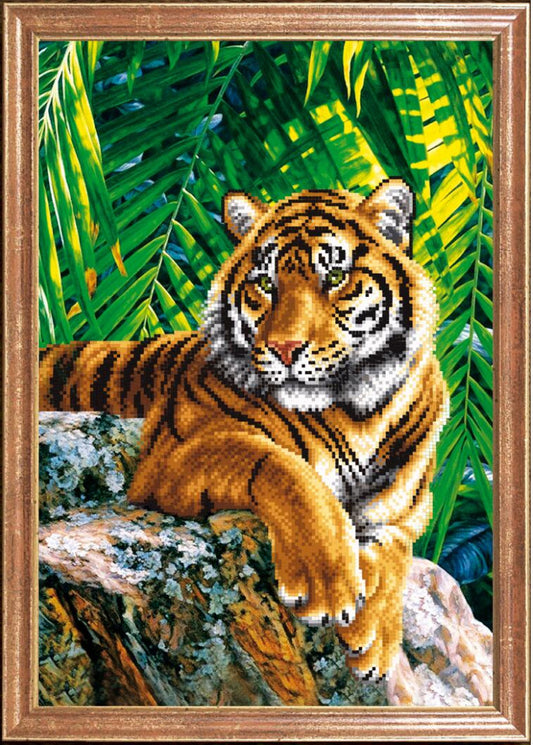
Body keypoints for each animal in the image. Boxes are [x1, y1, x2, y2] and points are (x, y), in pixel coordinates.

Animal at [40, 180, 449, 679]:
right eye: (266, 284)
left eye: (335, 278)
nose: (285, 348)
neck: (356, 409)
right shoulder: (175, 452)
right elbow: (286, 470)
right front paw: (327, 584)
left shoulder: (405, 509)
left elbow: (395, 553)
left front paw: (375, 640)